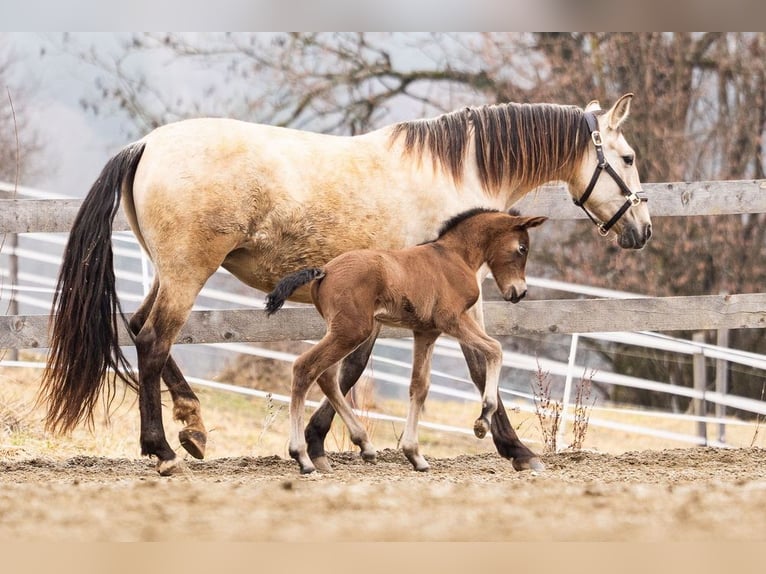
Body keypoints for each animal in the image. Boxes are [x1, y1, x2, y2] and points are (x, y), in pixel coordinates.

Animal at [265, 208, 546, 474]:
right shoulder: (451, 319)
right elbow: (495, 349)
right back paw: (303, 457)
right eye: (522, 248)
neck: (454, 257)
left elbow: (419, 387)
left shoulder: (426, 332)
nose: (519, 292)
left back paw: (364, 445)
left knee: (327, 376)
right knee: (305, 367)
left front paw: (415, 455)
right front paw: (482, 420)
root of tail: (325, 270)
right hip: (352, 331)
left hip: (340, 331)